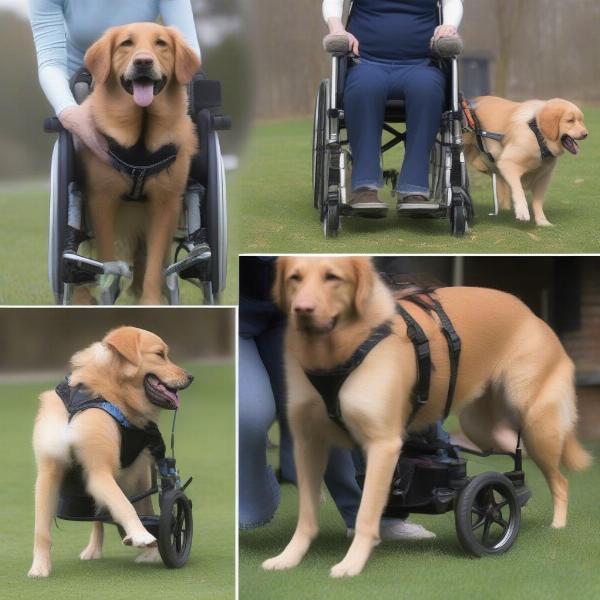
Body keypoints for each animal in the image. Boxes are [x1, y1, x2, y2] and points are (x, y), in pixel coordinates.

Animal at [27, 326, 192, 580]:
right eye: (159, 354)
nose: (190, 377)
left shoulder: (99, 469)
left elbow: (124, 504)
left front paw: (141, 535)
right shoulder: (50, 470)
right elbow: (41, 529)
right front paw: (40, 567)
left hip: (139, 479)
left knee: (146, 510)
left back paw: (151, 551)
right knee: (100, 517)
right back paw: (94, 550)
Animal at [78, 23, 200, 304]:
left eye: (161, 43)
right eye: (126, 43)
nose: (143, 62)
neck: (142, 135)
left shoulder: (166, 204)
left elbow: (155, 265)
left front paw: (150, 300)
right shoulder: (102, 200)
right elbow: (108, 259)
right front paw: (108, 292)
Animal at [264, 256, 592, 576]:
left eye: (332, 277)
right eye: (294, 278)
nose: (302, 310)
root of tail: (533, 315)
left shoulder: (383, 445)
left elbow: (366, 513)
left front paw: (351, 563)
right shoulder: (308, 443)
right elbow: (307, 514)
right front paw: (288, 557)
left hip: (536, 423)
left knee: (558, 480)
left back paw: (555, 523)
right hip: (483, 425)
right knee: (512, 452)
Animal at [464, 96, 584, 227]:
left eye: (581, 120)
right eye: (570, 120)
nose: (585, 134)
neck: (537, 134)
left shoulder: (543, 178)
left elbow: (537, 202)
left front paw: (542, 221)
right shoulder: (507, 163)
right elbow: (518, 189)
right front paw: (522, 211)